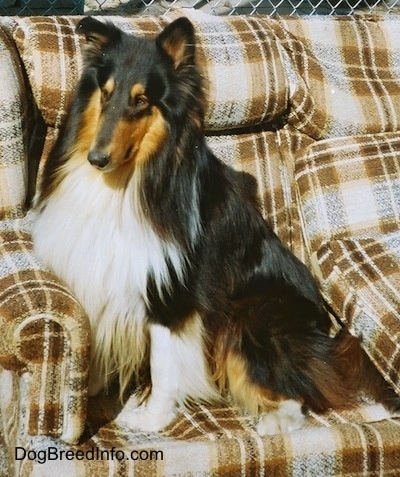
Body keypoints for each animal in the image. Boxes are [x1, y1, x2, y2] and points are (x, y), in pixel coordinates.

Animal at [32, 16, 400, 434]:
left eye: (141, 100)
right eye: (106, 94)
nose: (96, 159)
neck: (133, 180)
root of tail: (324, 335)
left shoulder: (169, 293)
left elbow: (163, 366)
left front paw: (152, 419)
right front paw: (91, 393)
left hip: (249, 318)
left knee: (306, 394)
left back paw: (273, 423)